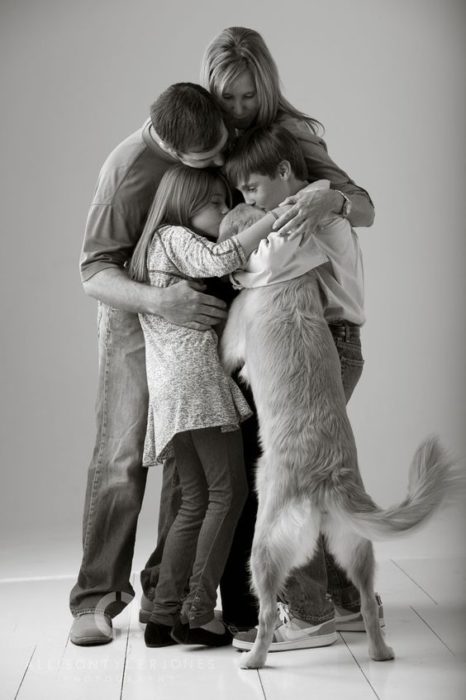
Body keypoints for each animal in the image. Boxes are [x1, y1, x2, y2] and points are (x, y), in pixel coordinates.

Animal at [219, 205, 458, 668]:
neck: (287, 274)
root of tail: (328, 476)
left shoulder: (230, 342)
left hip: (265, 546)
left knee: (266, 612)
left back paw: (254, 657)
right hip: (356, 546)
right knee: (366, 602)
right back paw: (380, 651)